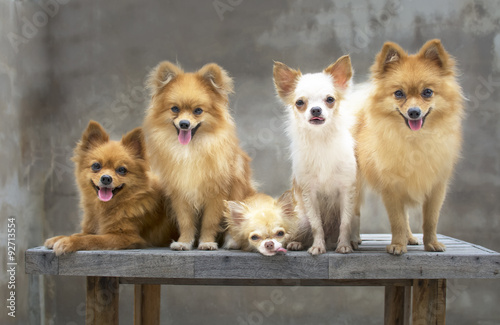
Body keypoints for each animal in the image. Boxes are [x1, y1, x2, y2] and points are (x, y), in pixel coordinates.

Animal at [44, 120, 179, 254]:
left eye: (122, 170)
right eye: (96, 166)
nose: (106, 178)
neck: (106, 207)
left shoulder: (126, 237)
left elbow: (91, 239)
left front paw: (68, 242)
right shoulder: (92, 229)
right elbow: (80, 234)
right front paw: (59, 238)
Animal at [144, 61, 254, 251]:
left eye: (198, 111)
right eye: (175, 109)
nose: (184, 123)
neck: (191, 149)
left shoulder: (217, 193)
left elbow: (209, 222)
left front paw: (207, 242)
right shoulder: (180, 193)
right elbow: (186, 222)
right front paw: (184, 242)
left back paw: (231, 241)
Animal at [274, 55, 360, 254]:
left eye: (330, 99)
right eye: (300, 102)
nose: (315, 110)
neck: (321, 139)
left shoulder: (347, 191)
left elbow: (345, 223)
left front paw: (344, 245)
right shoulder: (309, 193)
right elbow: (316, 225)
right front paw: (318, 246)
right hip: (300, 219)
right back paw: (297, 243)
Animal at [356, 39, 464, 254]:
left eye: (427, 92)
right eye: (399, 94)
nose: (414, 112)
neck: (415, 140)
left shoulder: (436, 187)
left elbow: (430, 220)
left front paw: (431, 243)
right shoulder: (391, 187)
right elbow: (396, 220)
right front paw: (398, 245)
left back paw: (410, 238)